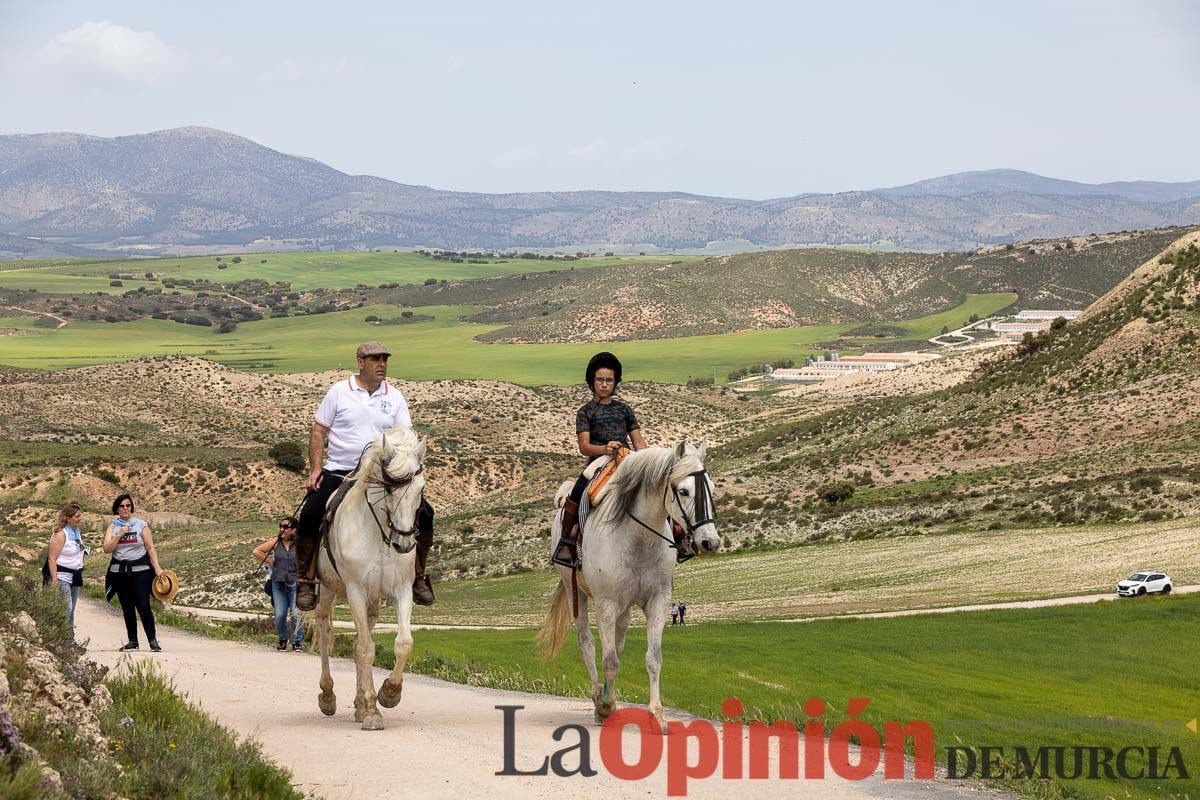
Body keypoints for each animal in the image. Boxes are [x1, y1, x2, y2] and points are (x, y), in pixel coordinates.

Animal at [314, 424, 427, 734]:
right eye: (388, 487)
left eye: (421, 488)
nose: (404, 543)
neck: (380, 534)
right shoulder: (355, 591)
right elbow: (366, 649)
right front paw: (373, 713)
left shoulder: (401, 590)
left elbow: (403, 643)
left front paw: (388, 694)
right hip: (328, 590)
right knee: (325, 631)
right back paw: (328, 696)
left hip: (373, 601)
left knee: (355, 644)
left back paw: (359, 704)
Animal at [540, 443, 715, 734]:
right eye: (683, 491)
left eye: (712, 487)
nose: (709, 541)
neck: (639, 538)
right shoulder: (606, 604)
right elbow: (609, 661)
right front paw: (606, 707)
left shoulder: (658, 601)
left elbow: (653, 659)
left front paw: (657, 716)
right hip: (577, 593)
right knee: (588, 644)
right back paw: (599, 699)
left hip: (625, 607)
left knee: (618, 644)